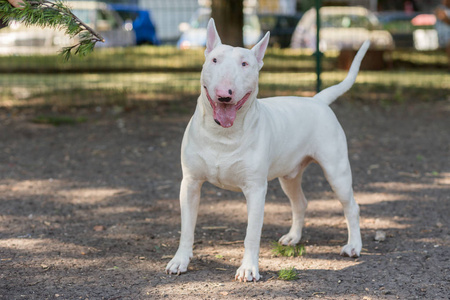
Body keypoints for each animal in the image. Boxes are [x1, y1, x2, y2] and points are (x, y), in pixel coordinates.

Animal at [166, 18, 370, 282]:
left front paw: (248, 269)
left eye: (245, 64)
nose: (224, 94)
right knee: (300, 202)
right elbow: (186, 228)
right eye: (214, 60)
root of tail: (317, 100)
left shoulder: (255, 190)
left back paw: (354, 246)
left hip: (337, 171)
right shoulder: (190, 184)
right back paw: (293, 238)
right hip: (289, 176)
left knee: (351, 206)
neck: (223, 135)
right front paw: (179, 261)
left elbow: (252, 234)